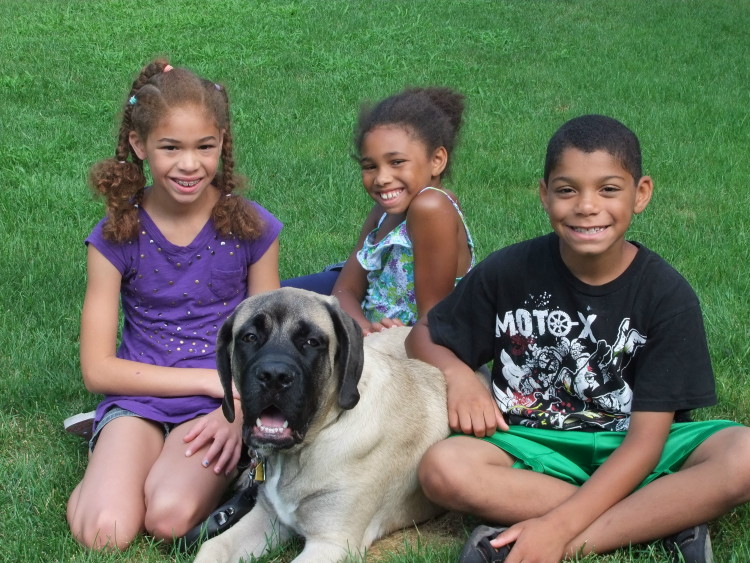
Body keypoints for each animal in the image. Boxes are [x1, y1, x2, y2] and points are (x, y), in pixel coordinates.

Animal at [195, 288, 452, 563]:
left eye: (311, 342)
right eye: (250, 337)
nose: (274, 376)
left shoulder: (332, 543)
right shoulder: (266, 516)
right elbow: (212, 546)